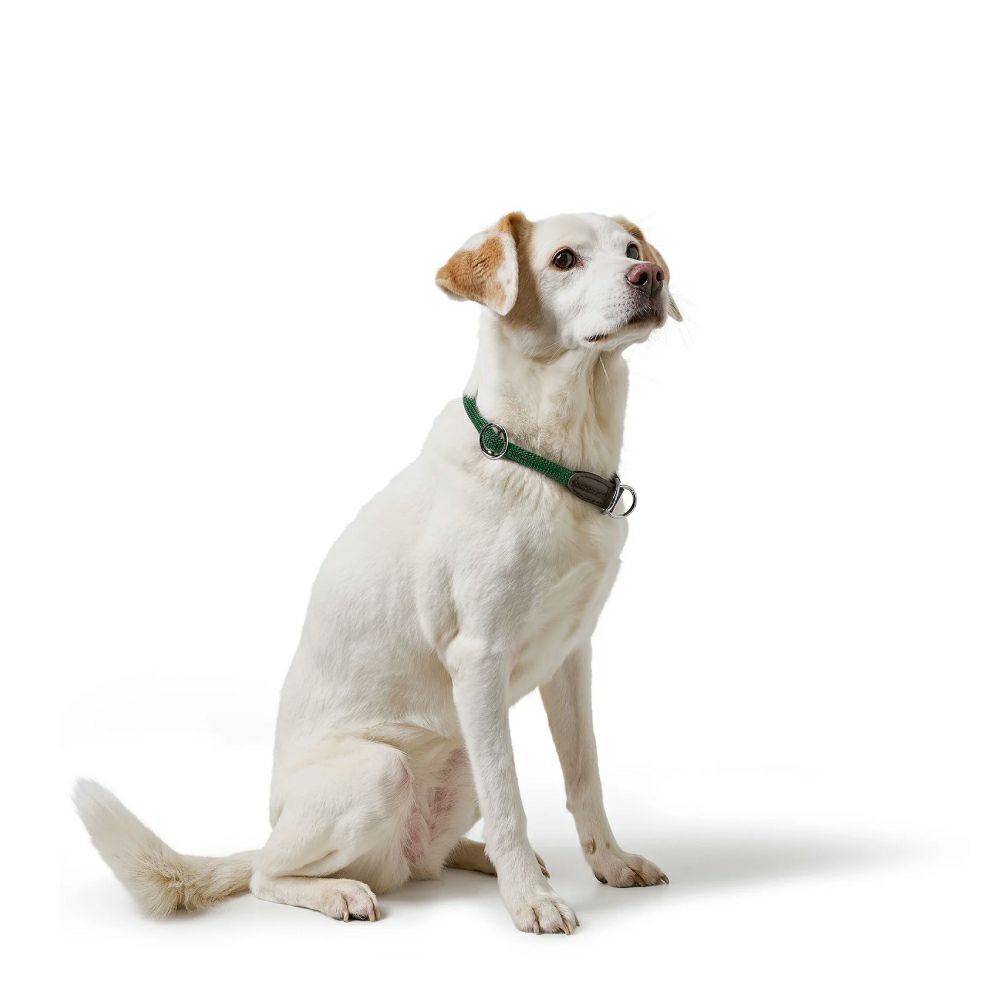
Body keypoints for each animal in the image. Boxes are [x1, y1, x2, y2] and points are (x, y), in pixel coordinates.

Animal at [76, 211, 682, 934]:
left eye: (632, 248)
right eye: (564, 258)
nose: (651, 276)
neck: (545, 460)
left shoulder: (571, 656)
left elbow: (583, 774)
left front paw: (609, 863)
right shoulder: (480, 659)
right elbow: (511, 801)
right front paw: (531, 903)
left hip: (459, 754)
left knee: (427, 860)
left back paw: (476, 859)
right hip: (383, 769)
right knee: (264, 874)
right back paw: (342, 890)